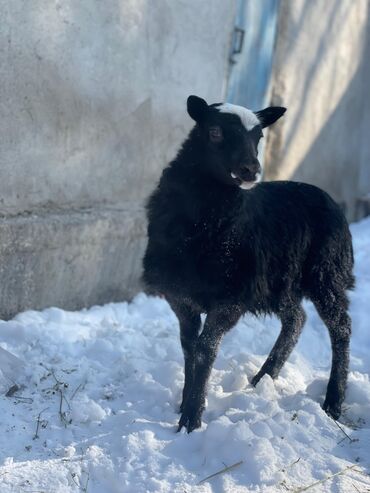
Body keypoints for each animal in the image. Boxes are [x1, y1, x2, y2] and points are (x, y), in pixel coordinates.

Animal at [142, 95, 356, 430]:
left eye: (259, 136)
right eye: (214, 131)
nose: (251, 170)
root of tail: (329, 198)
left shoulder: (230, 298)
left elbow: (205, 349)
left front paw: (191, 419)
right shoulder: (181, 298)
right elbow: (189, 347)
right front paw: (184, 405)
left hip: (327, 273)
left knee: (341, 327)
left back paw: (332, 404)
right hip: (281, 283)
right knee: (296, 320)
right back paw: (262, 379)